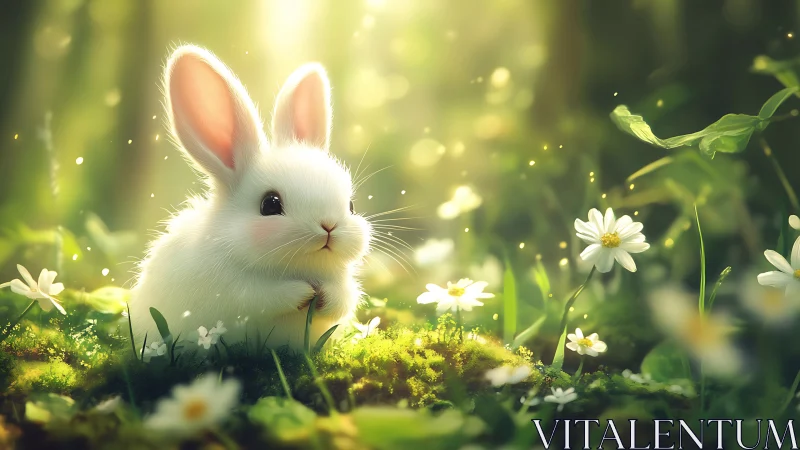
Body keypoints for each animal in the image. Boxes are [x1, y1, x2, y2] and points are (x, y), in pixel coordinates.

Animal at [129, 44, 371, 353]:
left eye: (351, 205)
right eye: (270, 204)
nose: (329, 226)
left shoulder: (344, 284)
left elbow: (342, 299)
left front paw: (323, 295)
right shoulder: (233, 290)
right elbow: (261, 297)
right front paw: (304, 291)